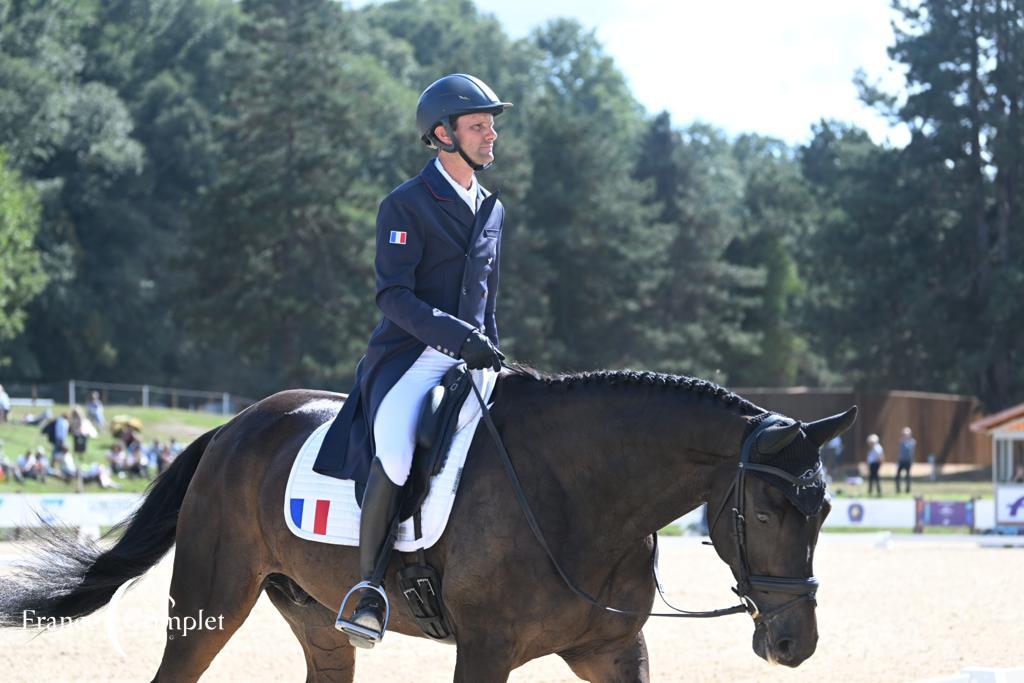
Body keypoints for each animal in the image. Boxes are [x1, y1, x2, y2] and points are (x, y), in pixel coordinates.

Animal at [0, 368, 856, 683]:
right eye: (769, 508)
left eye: (823, 509)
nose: (795, 643)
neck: (580, 497)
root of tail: (235, 426)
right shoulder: (484, 651)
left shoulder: (612, 650)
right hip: (209, 600)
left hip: (316, 617)